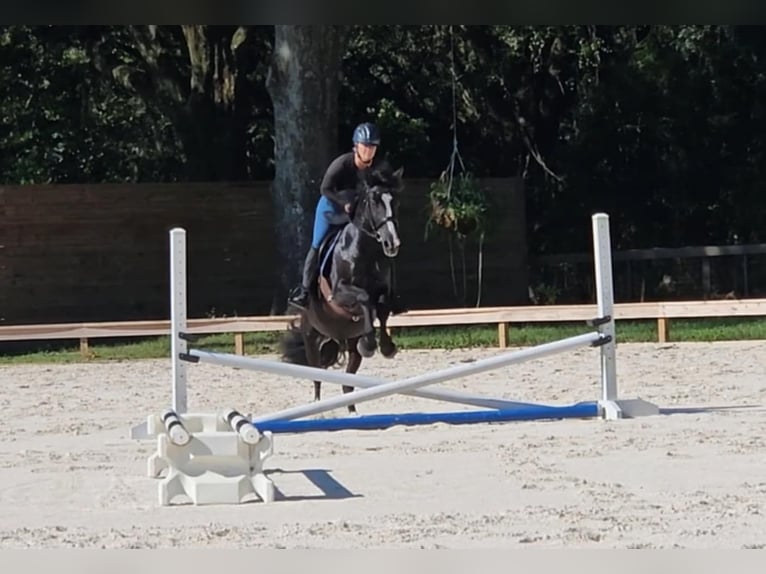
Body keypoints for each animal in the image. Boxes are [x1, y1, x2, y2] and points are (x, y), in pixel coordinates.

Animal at [279, 161, 406, 414]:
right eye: (374, 201)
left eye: (395, 200)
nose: (392, 243)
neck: (364, 250)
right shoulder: (339, 294)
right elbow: (365, 298)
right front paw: (371, 343)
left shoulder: (383, 291)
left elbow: (382, 306)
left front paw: (386, 347)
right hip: (312, 336)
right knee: (317, 376)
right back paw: (318, 409)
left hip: (349, 344)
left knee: (348, 384)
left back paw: (353, 412)